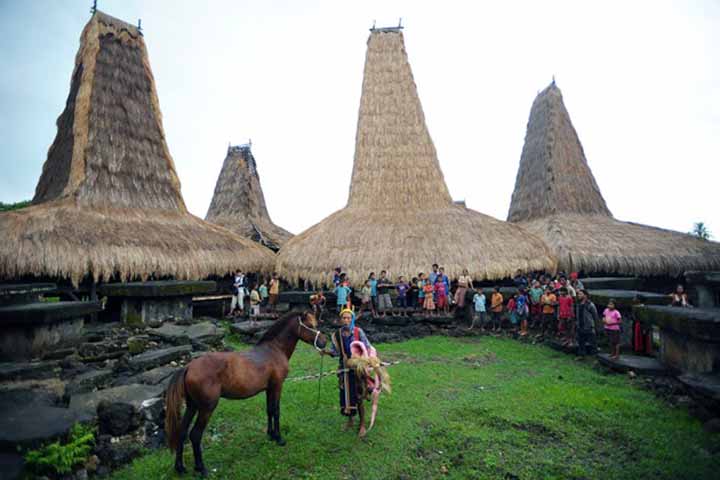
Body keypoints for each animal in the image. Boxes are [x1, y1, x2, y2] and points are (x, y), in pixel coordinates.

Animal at [163, 310, 326, 474]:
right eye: (311, 325)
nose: (324, 342)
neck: (274, 349)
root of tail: (188, 367)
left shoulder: (269, 389)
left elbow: (269, 410)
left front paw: (270, 434)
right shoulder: (277, 386)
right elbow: (276, 411)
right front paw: (279, 438)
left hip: (192, 406)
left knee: (182, 431)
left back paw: (180, 467)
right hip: (206, 408)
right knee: (195, 435)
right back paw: (201, 468)